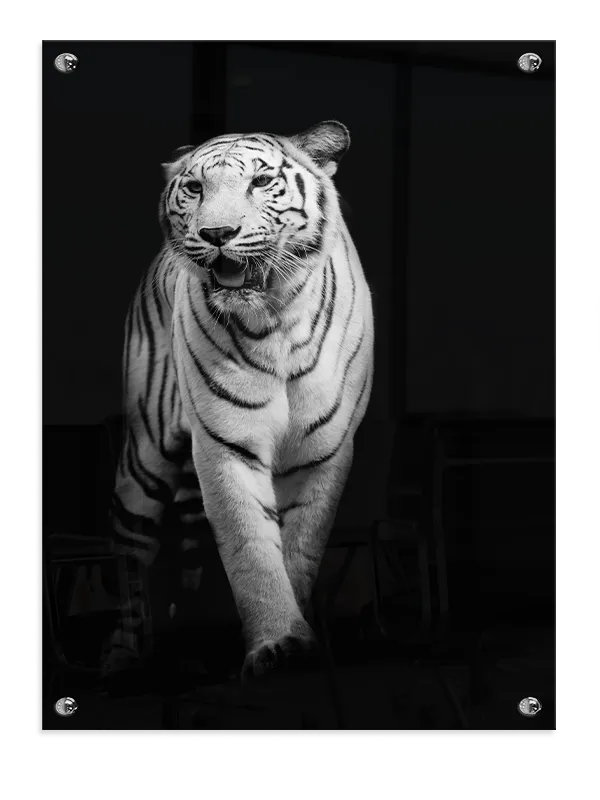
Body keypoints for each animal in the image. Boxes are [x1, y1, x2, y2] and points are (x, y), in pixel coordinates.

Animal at [106, 120, 374, 680]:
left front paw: (295, 639)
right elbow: (250, 547)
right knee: (128, 554)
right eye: (194, 188)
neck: (276, 319)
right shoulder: (225, 446)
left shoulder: (325, 451)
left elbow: (300, 548)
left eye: (262, 181)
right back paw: (122, 656)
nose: (216, 234)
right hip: (143, 455)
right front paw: (277, 642)